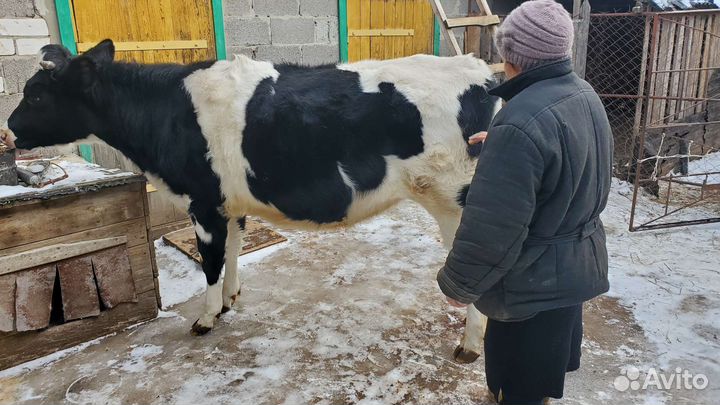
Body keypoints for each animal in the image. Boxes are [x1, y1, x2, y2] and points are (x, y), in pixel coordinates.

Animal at [6, 39, 500, 363]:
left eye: (36, 95)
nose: (7, 131)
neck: (163, 111)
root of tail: (482, 74)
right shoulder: (230, 204)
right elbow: (233, 251)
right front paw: (229, 300)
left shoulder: (203, 201)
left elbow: (209, 260)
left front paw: (206, 318)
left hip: (459, 203)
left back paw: (470, 346)